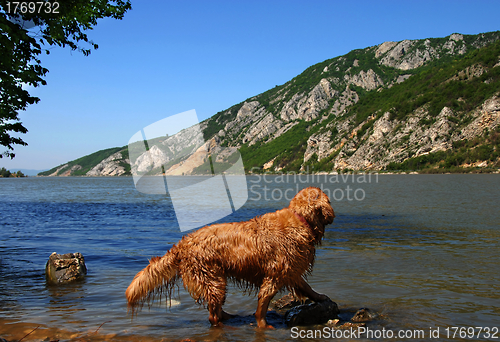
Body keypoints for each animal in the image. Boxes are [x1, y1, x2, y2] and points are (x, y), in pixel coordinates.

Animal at [126, 187, 336, 328]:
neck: (301, 219)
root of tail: (183, 243)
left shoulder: (290, 270)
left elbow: (306, 287)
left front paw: (320, 297)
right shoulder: (275, 274)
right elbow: (263, 302)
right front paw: (262, 324)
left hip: (215, 280)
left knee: (216, 309)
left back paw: (228, 316)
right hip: (212, 278)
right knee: (212, 316)